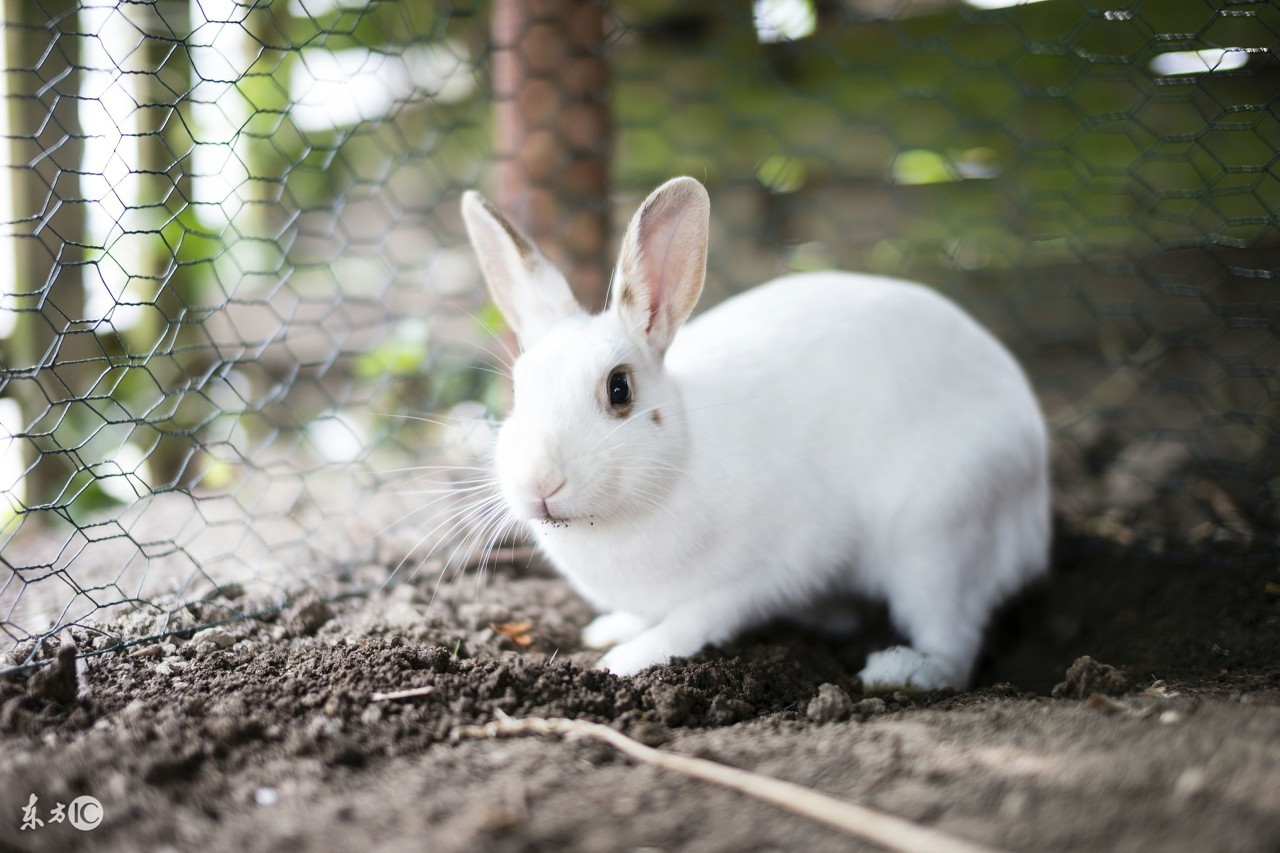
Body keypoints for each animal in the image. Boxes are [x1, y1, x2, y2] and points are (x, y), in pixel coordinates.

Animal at [463, 175, 1049, 686]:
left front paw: (620, 660)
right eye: (518, 391)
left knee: (955, 644)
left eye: (619, 389)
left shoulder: (743, 584)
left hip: (938, 537)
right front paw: (608, 630)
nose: (539, 485)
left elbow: (687, 625)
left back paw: (901, 673)